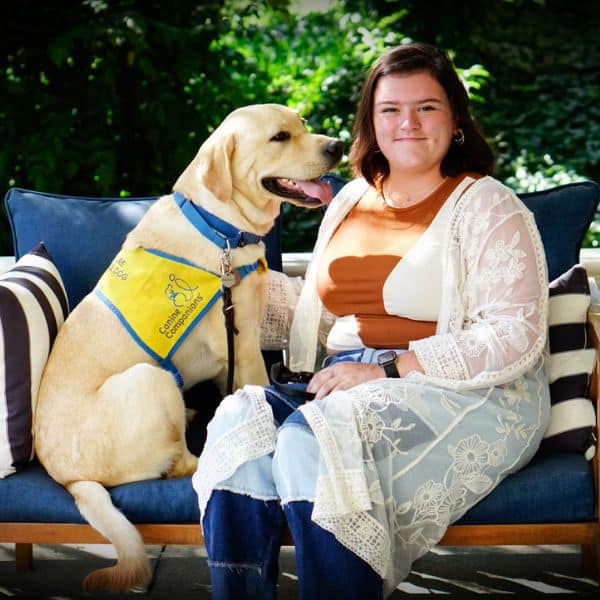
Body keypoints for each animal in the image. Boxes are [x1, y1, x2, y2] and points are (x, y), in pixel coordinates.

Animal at [34, 103, 342, 592]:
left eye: (304, 125)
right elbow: (257, 392)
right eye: (279, 137)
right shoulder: (242, 345)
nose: (337, 146)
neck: (221, 228)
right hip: (152, 378)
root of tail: (70, 479)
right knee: (180, 463)